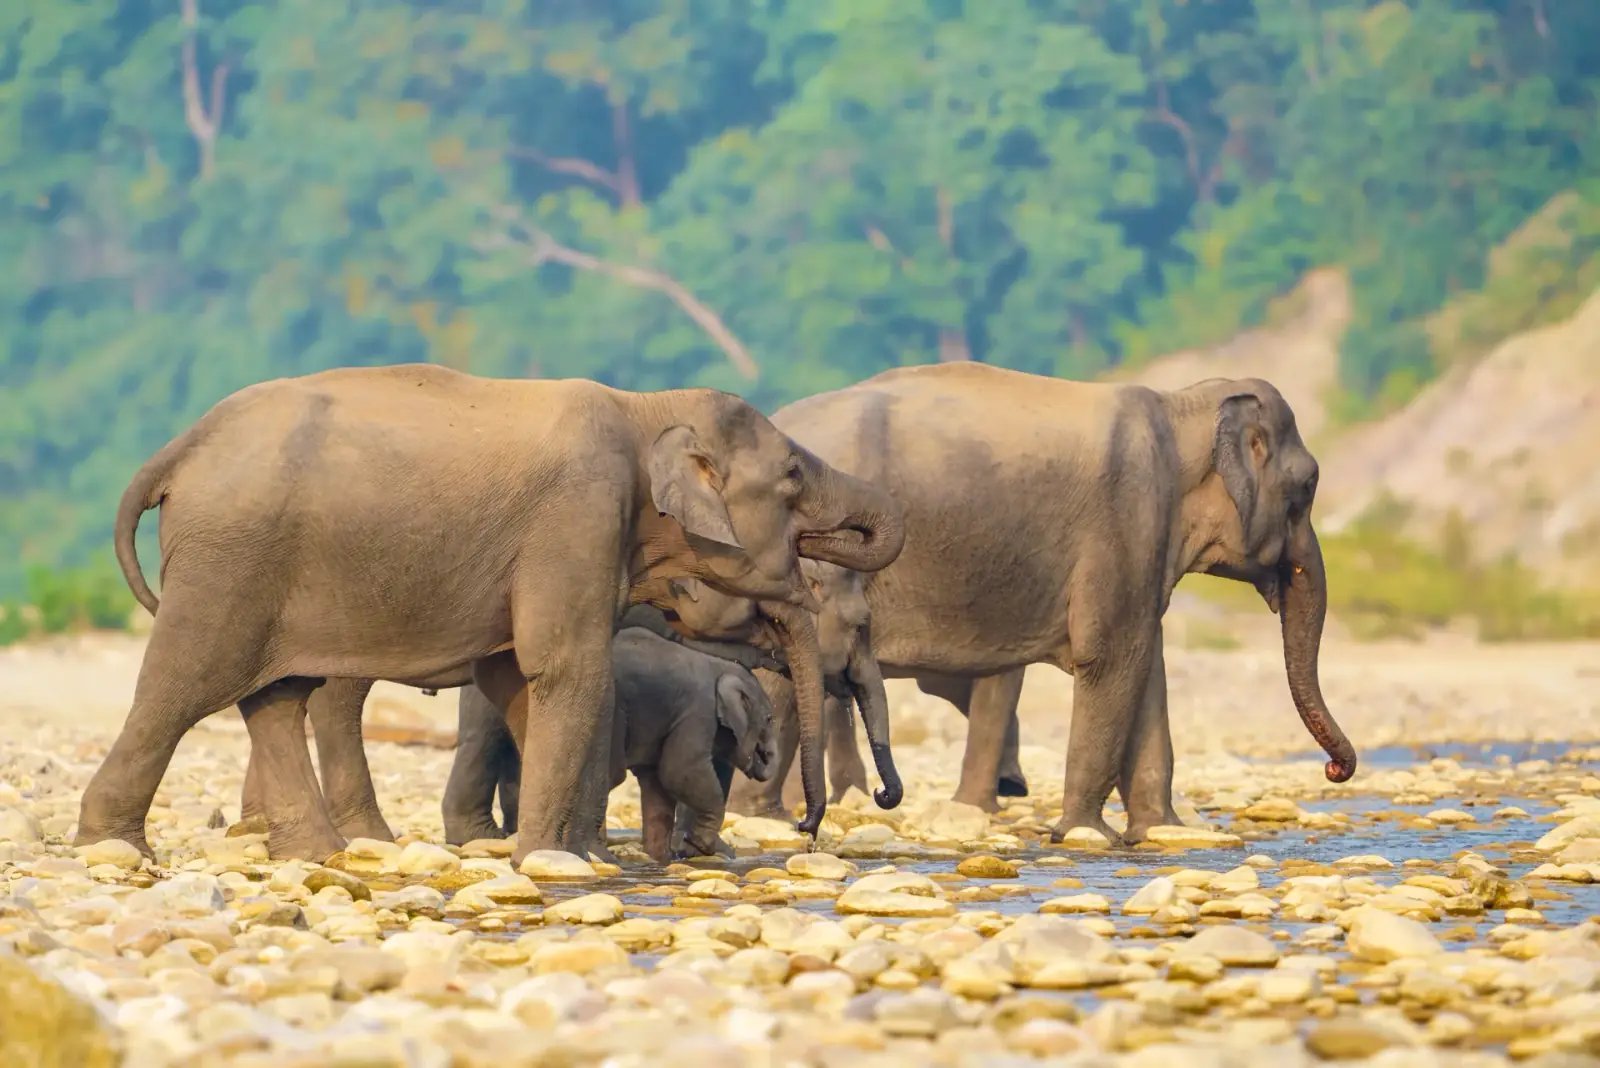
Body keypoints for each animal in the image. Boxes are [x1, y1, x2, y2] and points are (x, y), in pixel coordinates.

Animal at [83, 363, 904, 863]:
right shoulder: (580, 515)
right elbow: (567, 669)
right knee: (185, 683)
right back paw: (115, 848)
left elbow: (518, 681)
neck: (646, 407)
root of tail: (179, 449)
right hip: (230, 558)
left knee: (277, 698)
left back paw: (321, 855)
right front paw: (550, 857)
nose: (808, 826)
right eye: (793, 476)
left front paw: (579, 855)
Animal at [719, 363, 1357, 845]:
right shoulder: (1128, 516)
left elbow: (1144, 666)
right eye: (1307, 487)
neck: (1183, 406)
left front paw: (1161, 832)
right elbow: (1112, 659)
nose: (1334, 770)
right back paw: (761, 819)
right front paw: (1084, 835)